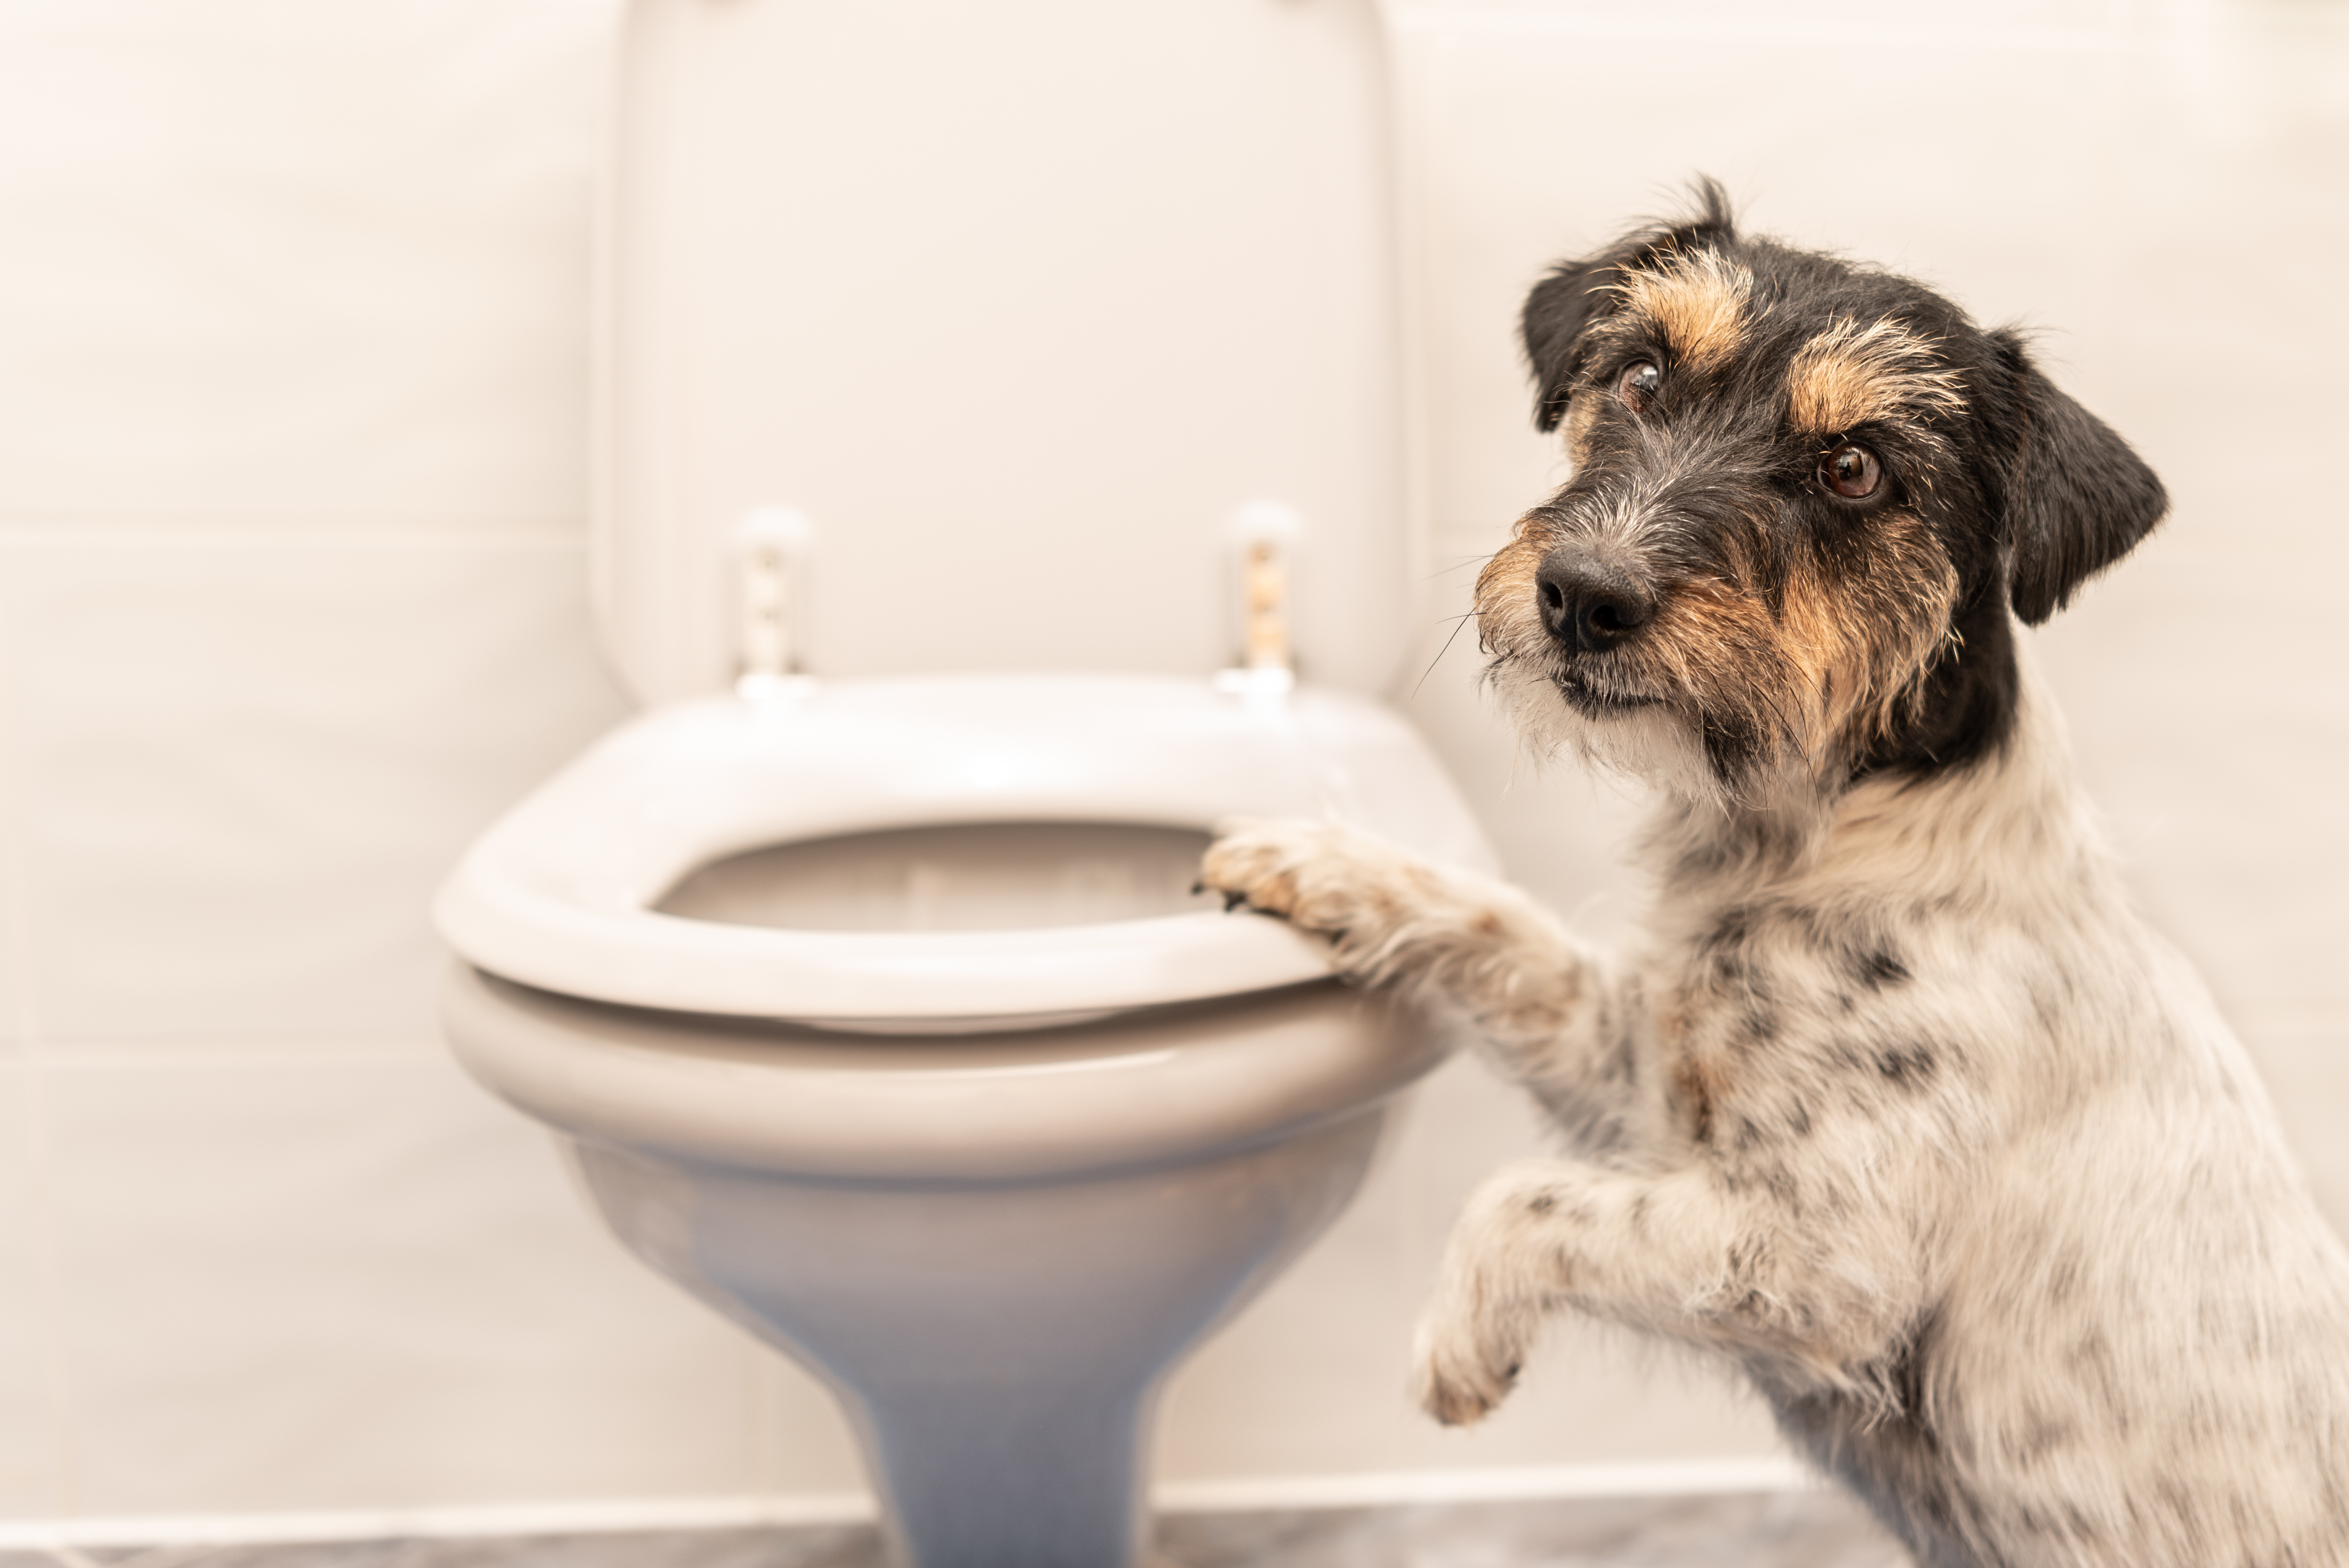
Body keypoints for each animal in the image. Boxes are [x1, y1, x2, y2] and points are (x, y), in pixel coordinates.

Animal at [1202, 186, 2349, 1568]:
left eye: (1852, 468)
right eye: (1640, 375)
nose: (1580, 594)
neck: (1830, 835)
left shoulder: (1814, 1254)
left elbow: (1521, 1199)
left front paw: (1455, 1339)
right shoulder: (1637, 1072)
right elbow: (1502, 931)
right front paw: (1313, 857)